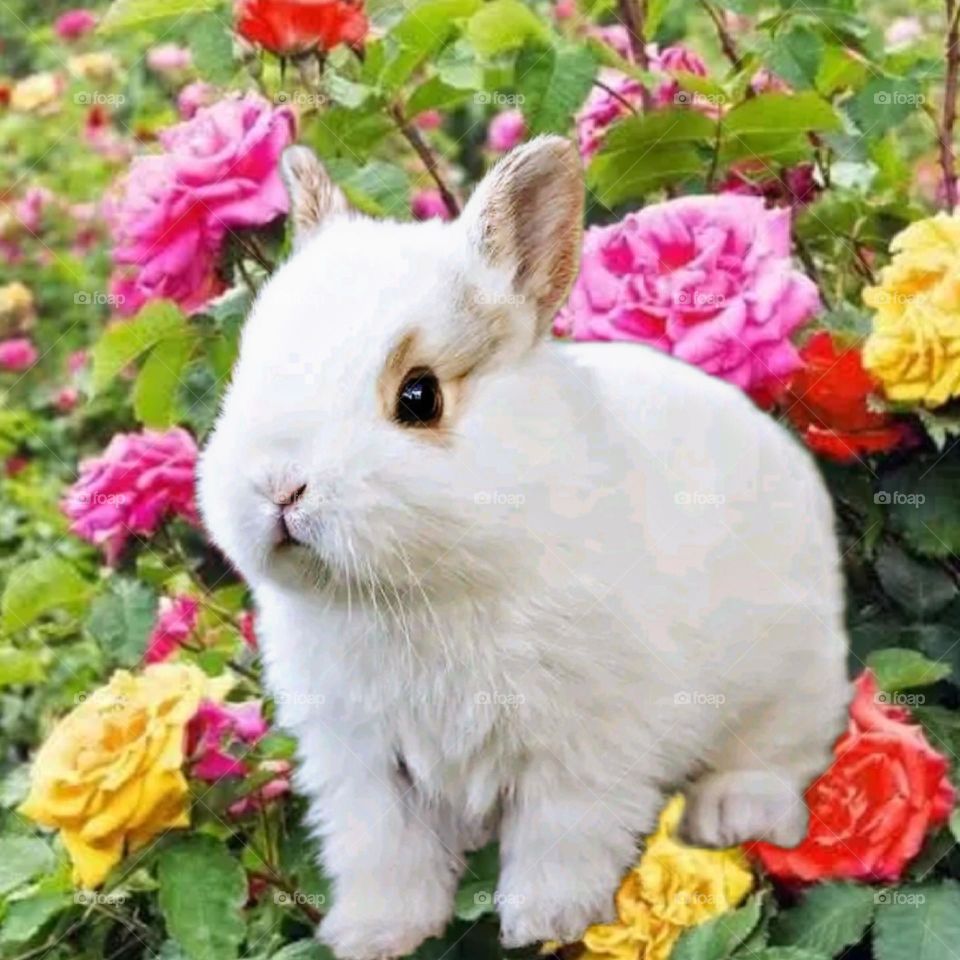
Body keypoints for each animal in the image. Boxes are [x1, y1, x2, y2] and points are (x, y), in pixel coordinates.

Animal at [198, 135, 850, 960]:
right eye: (243, 375)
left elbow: (560, 835)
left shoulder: (581, 743)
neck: (420, 588)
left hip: (791, 676)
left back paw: (734, 812)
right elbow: (383, 851)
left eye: (420, 397)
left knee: (782, 753)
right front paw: (375, 934)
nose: (279, 487)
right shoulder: (362, 760)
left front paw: (546, 921)